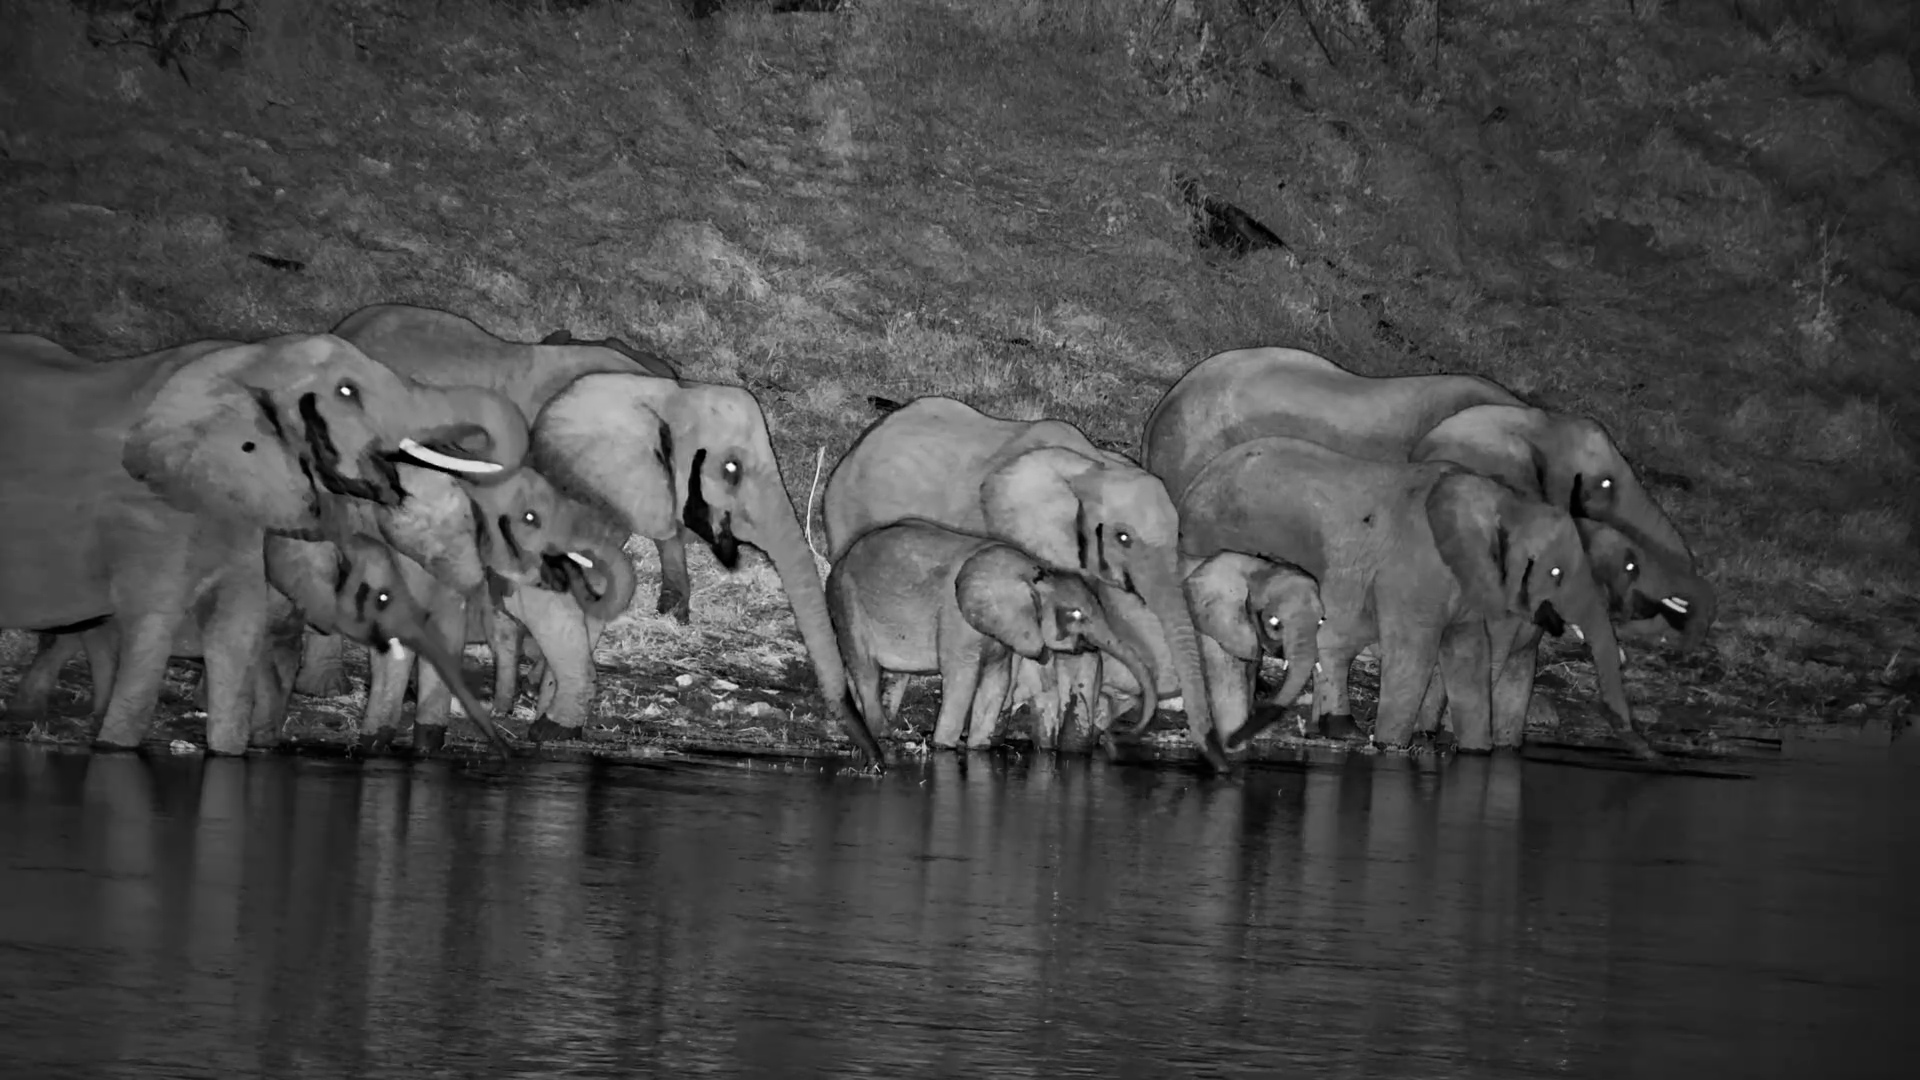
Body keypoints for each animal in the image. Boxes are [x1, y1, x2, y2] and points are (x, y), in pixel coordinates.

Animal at [0, 331, 527, 755]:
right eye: (348, 391)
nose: (507, 753)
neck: (246, 358)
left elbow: (238, 632)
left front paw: (237, 749)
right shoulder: (150, 519)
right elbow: (156, 630)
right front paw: (115, 747)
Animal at [826, 519, 1161, 751]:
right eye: (1077, 614)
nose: (1117, 736)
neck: (1035, 570)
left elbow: (996, 683)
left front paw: (978, 749)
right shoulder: (956, 619)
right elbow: (962, 680)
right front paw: (942, 747)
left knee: (891, 675)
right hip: (846, 599)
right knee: (866, 669)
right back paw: (882, 733)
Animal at [1094, 552, 1324, 750]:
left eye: (1322, 621)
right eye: (1275, 623)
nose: (1310, 732)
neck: (1257, 567)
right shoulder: (1209, 634)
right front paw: (1233, 746)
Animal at [1177, 435, 1645, 756]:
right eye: (1556, 572)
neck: (1502, 499)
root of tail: (1194, 482)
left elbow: (1470, 655)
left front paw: (1475, 752)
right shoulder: (1416, 573)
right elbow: (1416, 654)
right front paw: (1393, 748)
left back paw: (1337, 729)